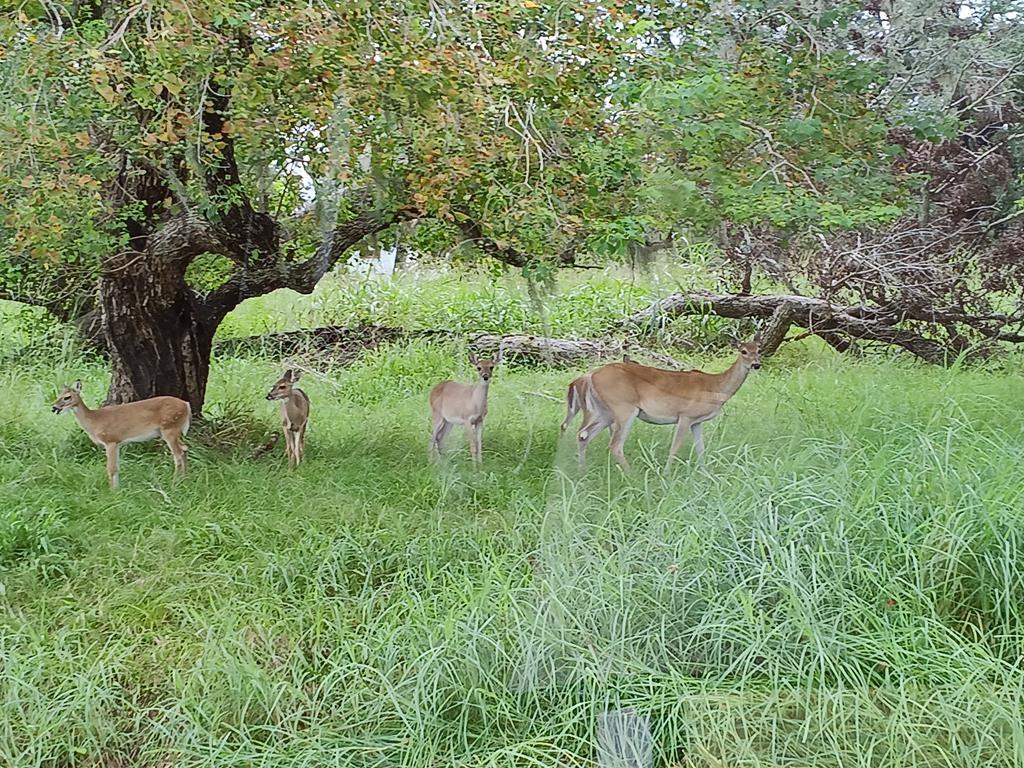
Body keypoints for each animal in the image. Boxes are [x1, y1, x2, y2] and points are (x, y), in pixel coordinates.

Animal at [50, 382, 190, 489]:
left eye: (67, 397)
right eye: (58, 395)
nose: (54, 407)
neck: (94, 420)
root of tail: (186, 405)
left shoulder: (110, 440)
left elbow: (111, 468)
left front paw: (113, 492)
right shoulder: (117, 443)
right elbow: (116, 467)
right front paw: (118, 489)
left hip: (169, 428)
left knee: (178, 454)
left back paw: (175, 483)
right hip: (173, 430)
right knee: (184, 449)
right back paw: (184, 480)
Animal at [569, 333, 761, 473]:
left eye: (758, 349)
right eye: (743, 351)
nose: (756, 364)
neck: (716, 387)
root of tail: (589, 375)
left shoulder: (697, 421)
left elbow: (701, 449)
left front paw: (706, 474)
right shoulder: (685, 415)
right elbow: (675, 448)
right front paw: (667, 475)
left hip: (605, 412)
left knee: (583, 435)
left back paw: (581, 471)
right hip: (623, 408)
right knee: (614, 445)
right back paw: (632, 475)